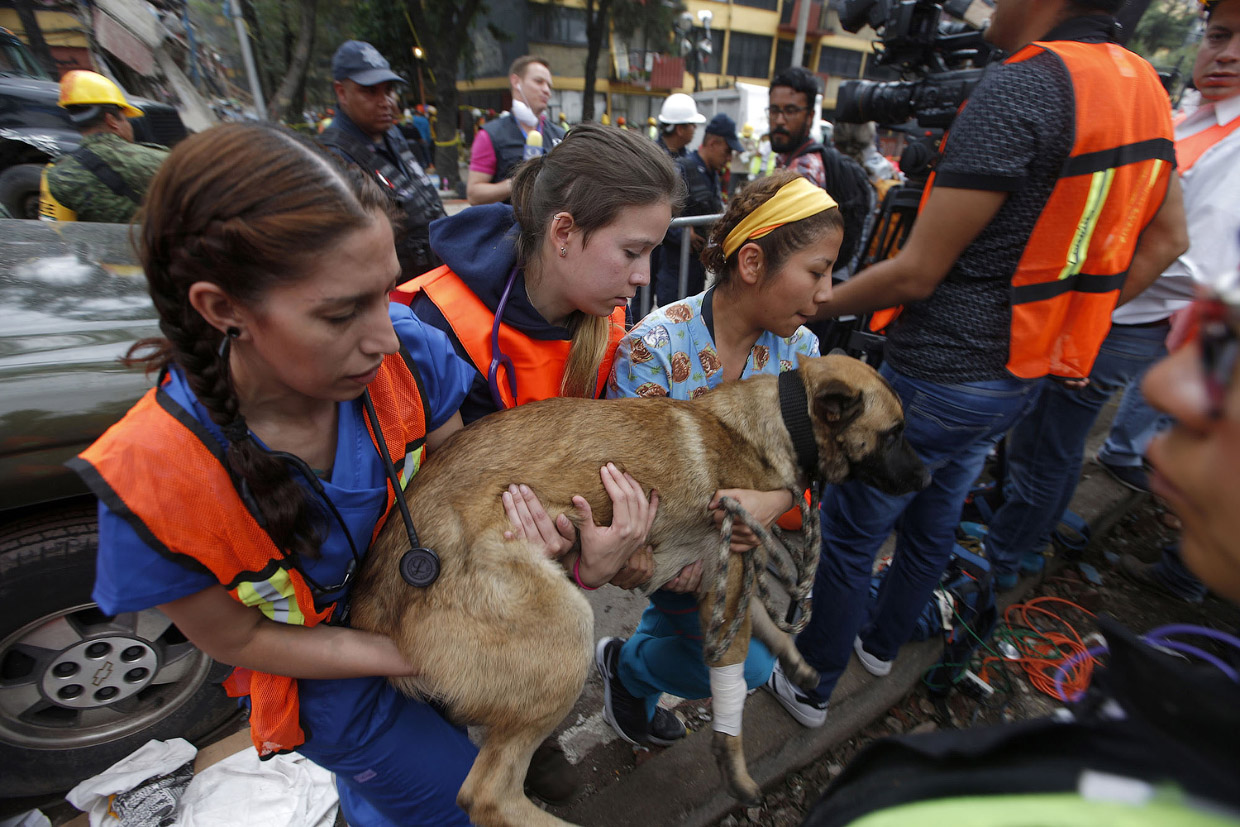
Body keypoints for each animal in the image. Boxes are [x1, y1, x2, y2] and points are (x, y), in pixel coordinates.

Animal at [349, 357, 932, 827]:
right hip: (568, 632)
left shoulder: (724, 575)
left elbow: (762, 623)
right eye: (895, 433)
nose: (928, 479)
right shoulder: (731, 564)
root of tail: (375, 602)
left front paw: (797, 661)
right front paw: (735, 766)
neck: (777, 423)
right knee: (486, 796)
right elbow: (733, 681)